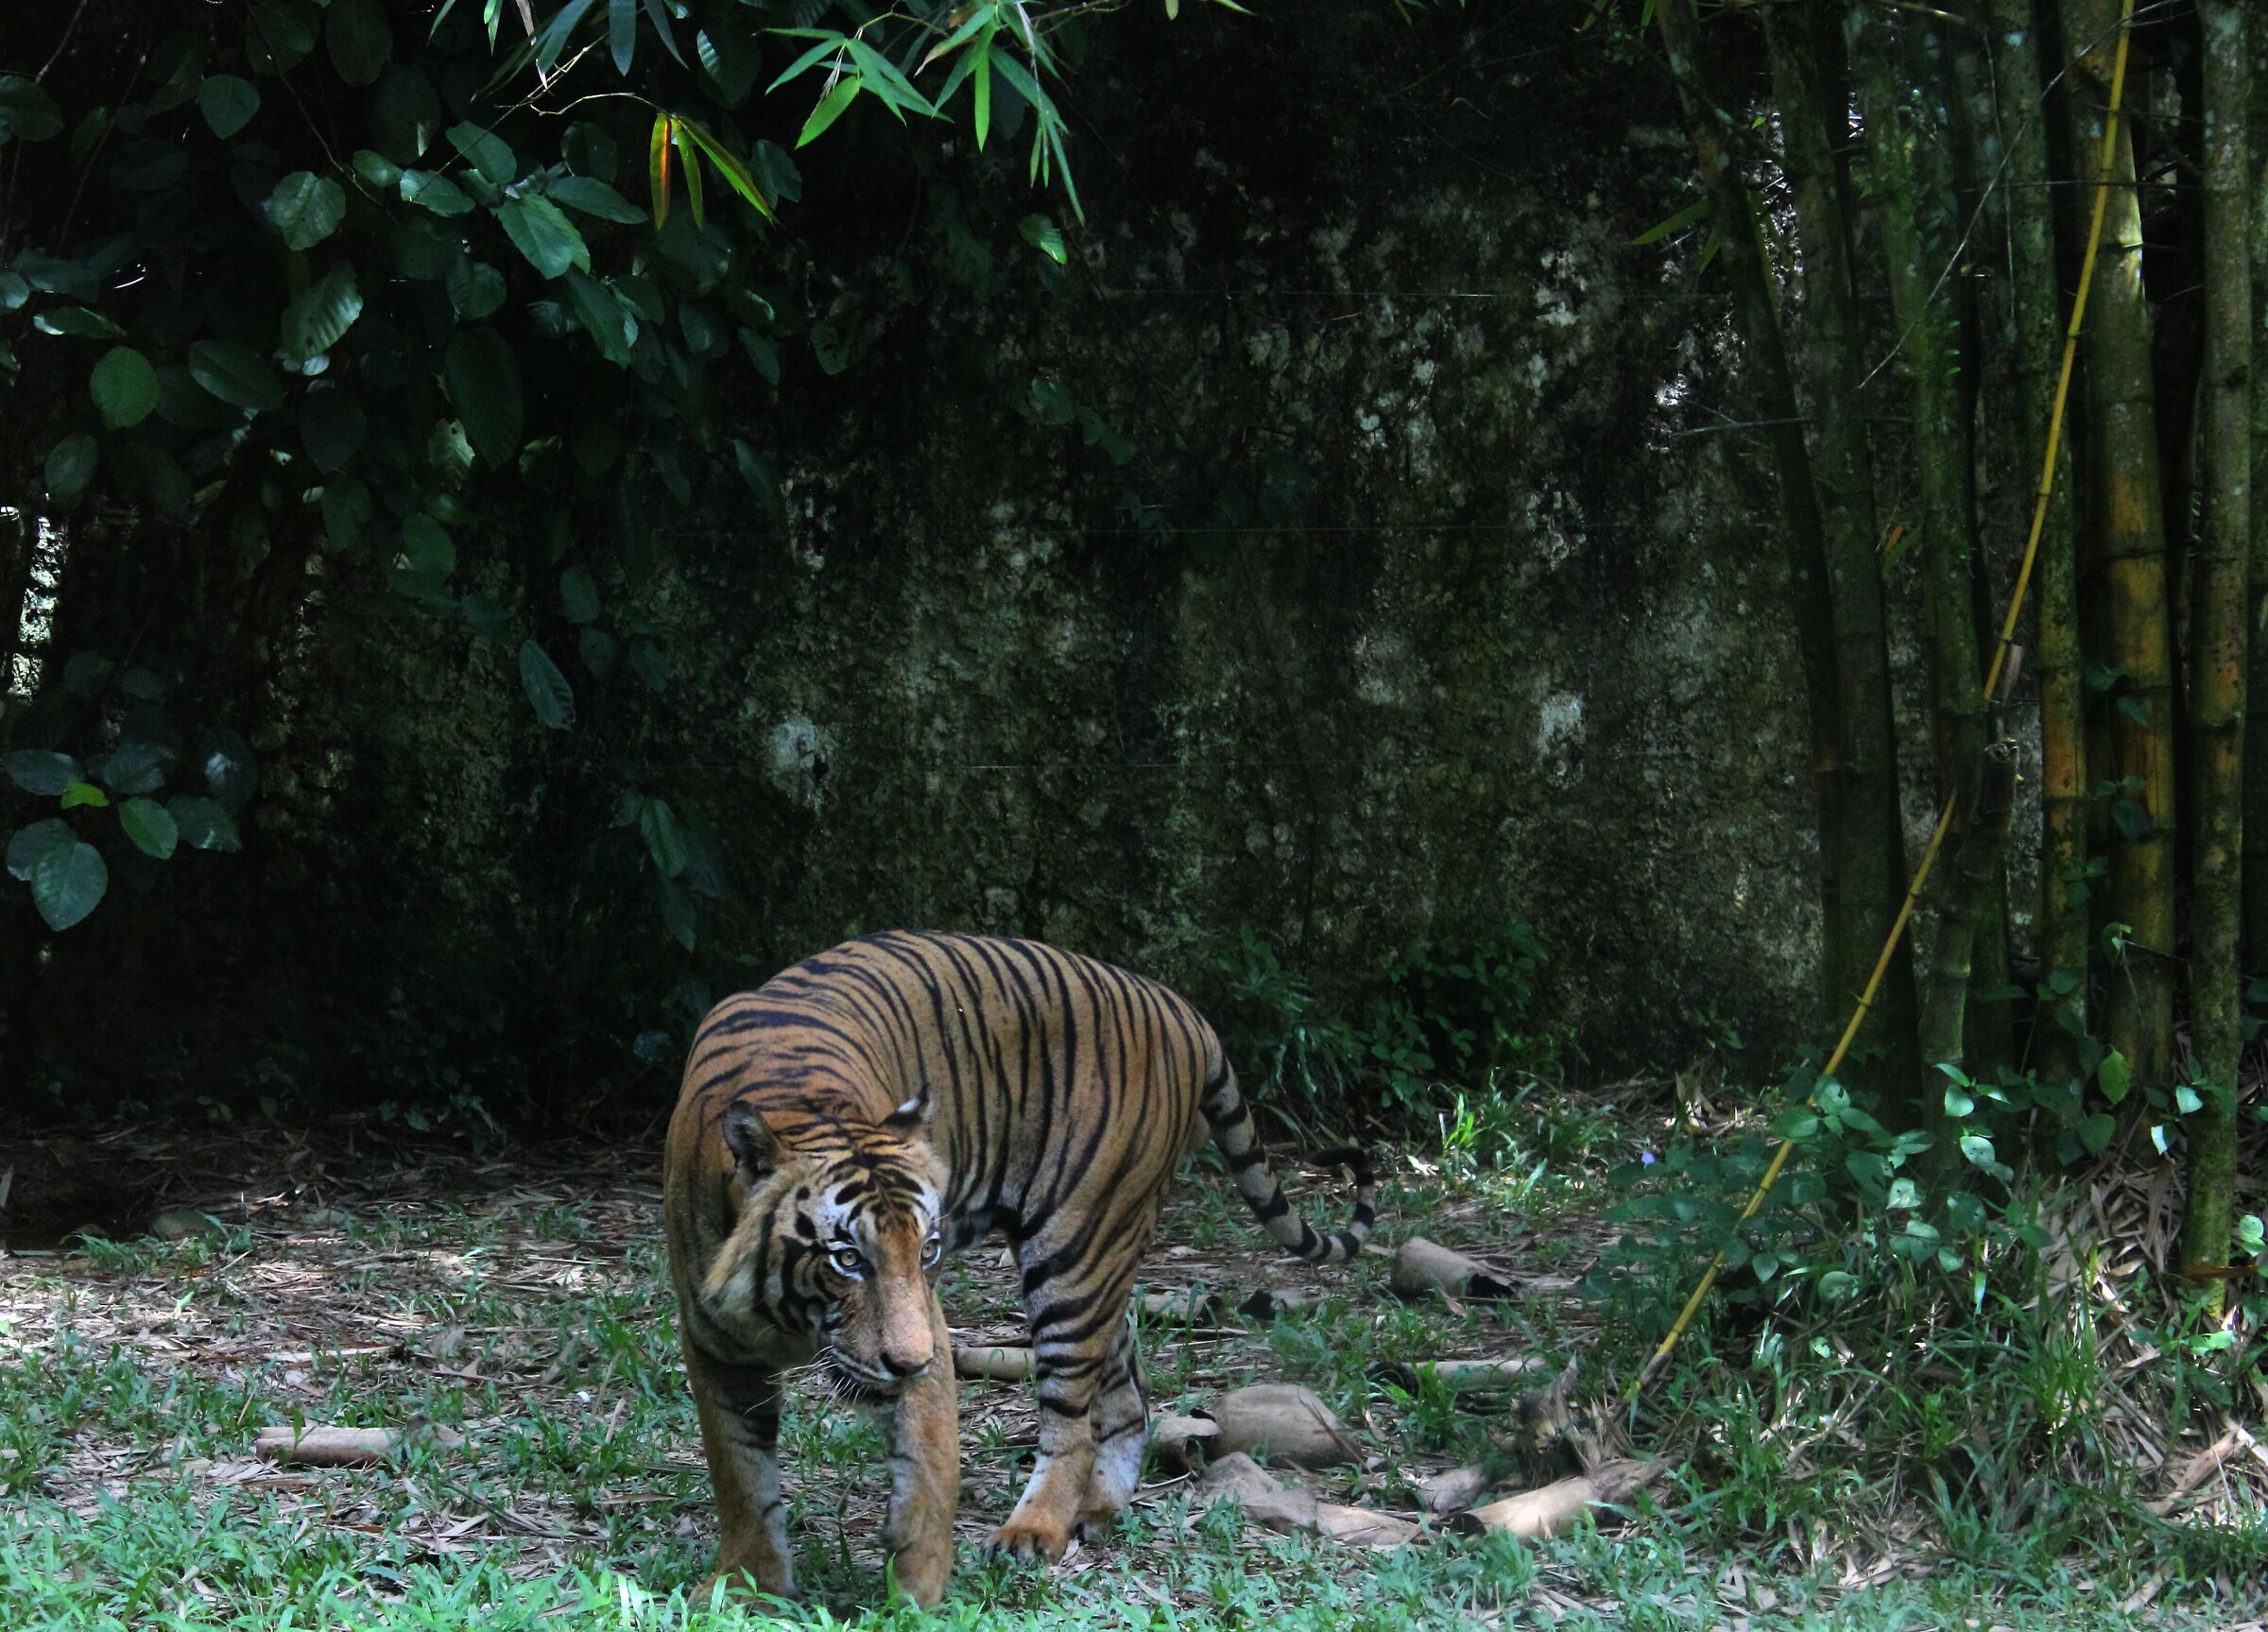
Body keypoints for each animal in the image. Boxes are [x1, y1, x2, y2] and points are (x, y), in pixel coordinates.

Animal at [662, 929, 1377, 1607]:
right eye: (847, 1259)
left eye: (928, 1250)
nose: (907, 1363)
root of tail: (1181, 1008)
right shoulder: (715, 1346)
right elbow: (741, 1476)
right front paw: (746, 1583)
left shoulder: (928, 1324)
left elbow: (929, 1464)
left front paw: (915, 1592)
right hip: (1103, 1258)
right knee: (1128, 1393)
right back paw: (1099, 1509)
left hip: (1075, 1254)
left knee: (1072, 1419)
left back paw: (1033, 1530)